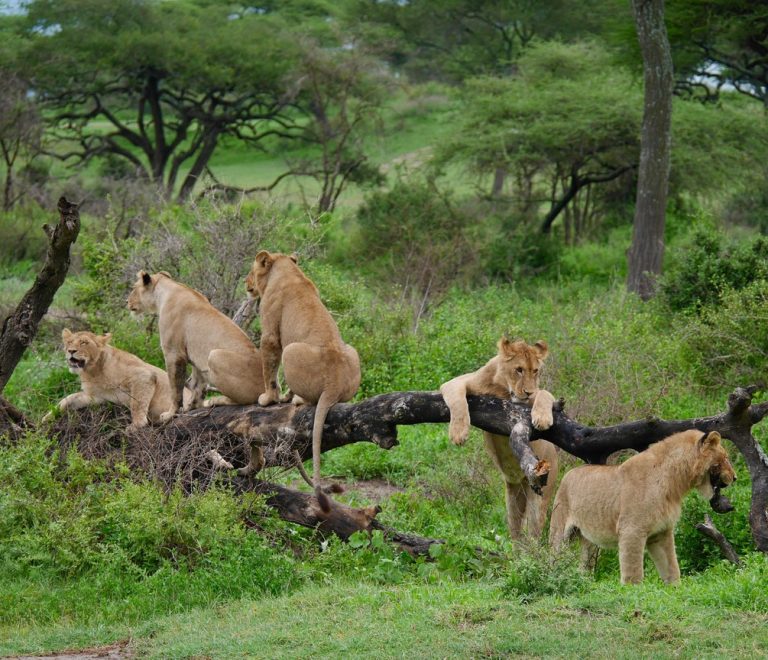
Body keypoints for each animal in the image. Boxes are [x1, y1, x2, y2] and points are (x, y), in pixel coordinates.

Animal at [43, 328, 188, 431]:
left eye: (84, 342)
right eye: (69, 343)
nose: (71, 351)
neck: (92, 372)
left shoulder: (144, 375)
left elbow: (137, 403)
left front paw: (137, 425)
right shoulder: (95, 396)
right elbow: (69, 398)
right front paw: (47, 416)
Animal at [127, 271, 265, 422]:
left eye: (134, 287)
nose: (127, 301)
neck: (165, 291)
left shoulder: (174, 353)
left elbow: (175, 388)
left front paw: (170, 414)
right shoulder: (195, 358)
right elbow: (198, 385)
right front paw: (191, 407)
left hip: (215, 355)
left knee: (244, 400)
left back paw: (216, 400)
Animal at [245, 251, 361, 490]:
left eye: (252, 271)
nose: (246, 283)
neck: (286, 270)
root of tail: (334, 384)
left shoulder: (269, 334)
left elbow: (269, 370)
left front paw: (268, 398)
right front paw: (281, 396)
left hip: (290, 350)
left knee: (308, 399)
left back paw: (297, 400)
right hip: (353, 351)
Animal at [440, 337, 558, 539]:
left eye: (535, 371)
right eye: (519, 369)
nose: (528, 392)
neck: (503, 389)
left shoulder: (536, 396)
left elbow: (544, 393)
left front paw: (542, 418)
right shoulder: (458, 381)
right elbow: (457, 399)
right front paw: (458, 433)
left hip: (540, 496)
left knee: (533, 534)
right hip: (513, 498)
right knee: (516, 533)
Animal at [549, 429, 736, 585]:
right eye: (725, 458)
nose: (735, 477)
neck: (674, 482)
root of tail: (568, 472)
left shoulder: (661, 532)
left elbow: (671, 566)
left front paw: (675, 589)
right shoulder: (631, 530)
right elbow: (633, 572)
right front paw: (632, 592)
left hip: (589, 541)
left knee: (584, 565)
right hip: (559, 531)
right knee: (553, 556)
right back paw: (553, 577)